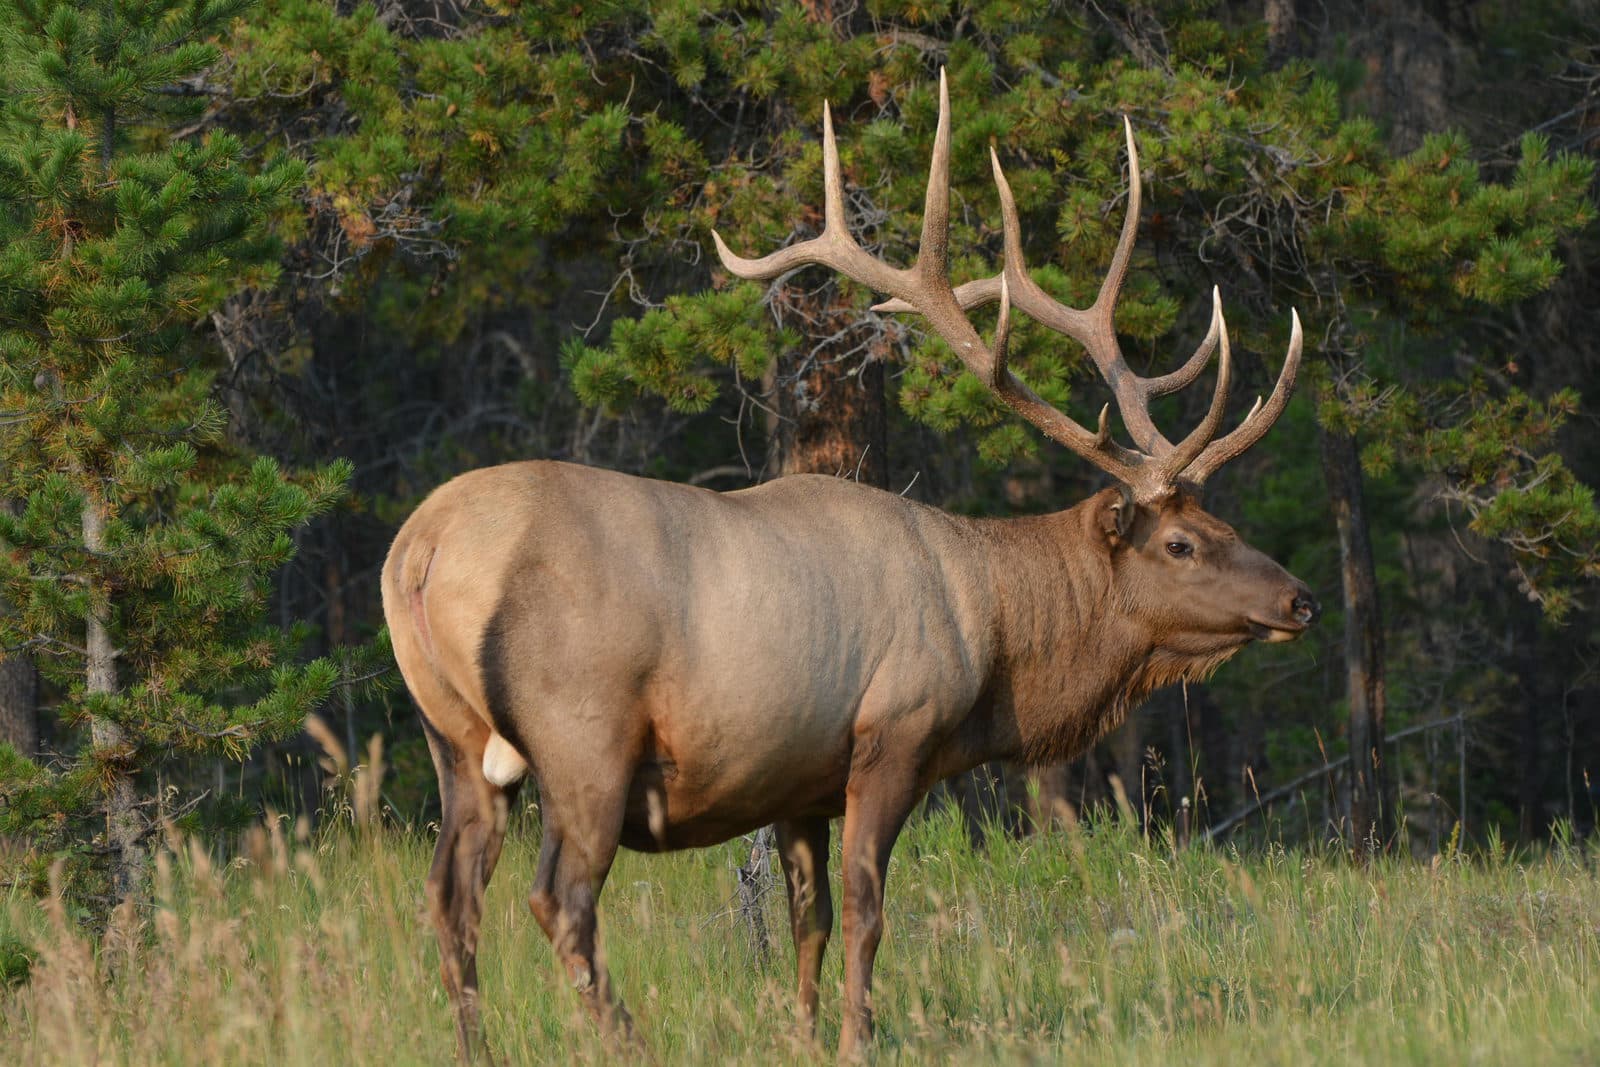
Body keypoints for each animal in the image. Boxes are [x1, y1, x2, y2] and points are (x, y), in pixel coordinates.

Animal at [381, 70, 1319, 1061]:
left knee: (451, 898)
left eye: (1218, 519)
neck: (993, 641)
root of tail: (420, 551)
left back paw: (475, 1045)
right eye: (1181, 542)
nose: (1300, 598)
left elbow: (811, 918)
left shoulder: (795, 780)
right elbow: (869, 911)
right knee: (558, 900)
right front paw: (854, 1036)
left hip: (454, 739)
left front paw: (800, 1030)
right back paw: (630, 1039)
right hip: (583, 733)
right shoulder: (893, 734)